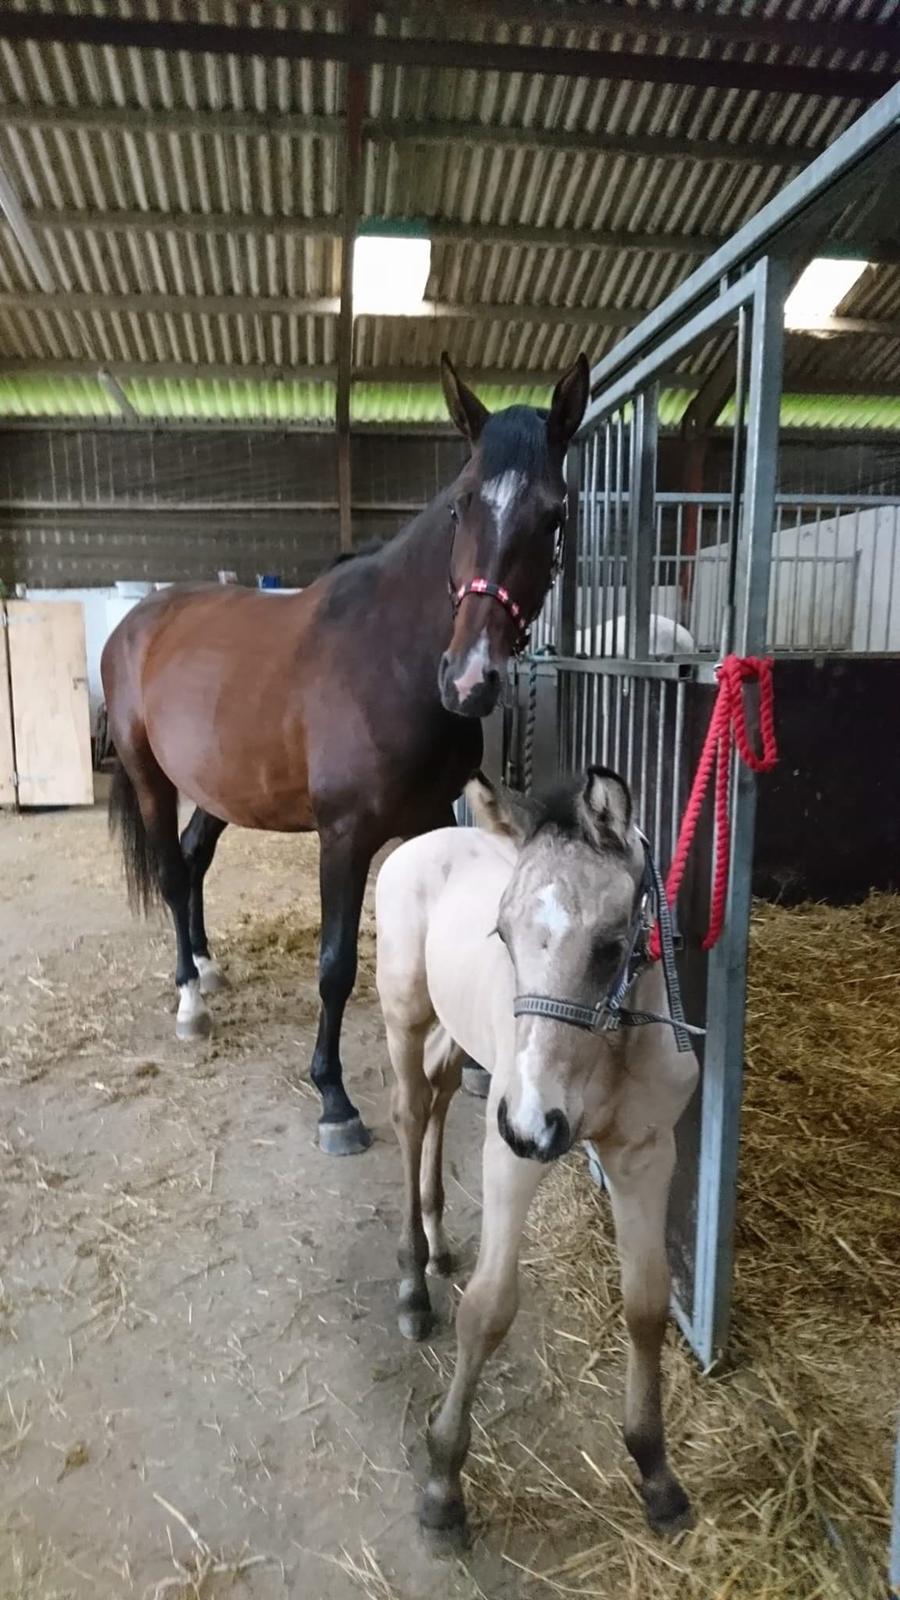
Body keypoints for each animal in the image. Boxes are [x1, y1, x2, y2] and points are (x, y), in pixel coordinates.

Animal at [99, 353, 589, 1152]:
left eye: (555, 515)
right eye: (460, 505)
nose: (469, 679)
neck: (390, 658)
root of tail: (136, 622)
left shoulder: (430, 820)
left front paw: (469, 1064)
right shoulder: (345, 836)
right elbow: (335, 964)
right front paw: (333, 1097)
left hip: (219, 788)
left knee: (196, 858)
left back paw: (207, 965)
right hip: (150, 778)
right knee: (173, 874)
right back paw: (190, 1002)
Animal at [371, 768, 695, 1542]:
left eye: (612, 945)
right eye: (503, 932)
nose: (533, 1121)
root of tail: (423, 840)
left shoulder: (645, 1156)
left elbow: (646, 1303)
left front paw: (656, 1473)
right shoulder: (511, 1156)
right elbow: (488, 1310)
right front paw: (443, 1483)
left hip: (460, 1042)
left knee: (438, 1096)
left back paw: (437, 1245)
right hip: (406, 1016)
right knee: (409, 1113)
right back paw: (413, 1283)